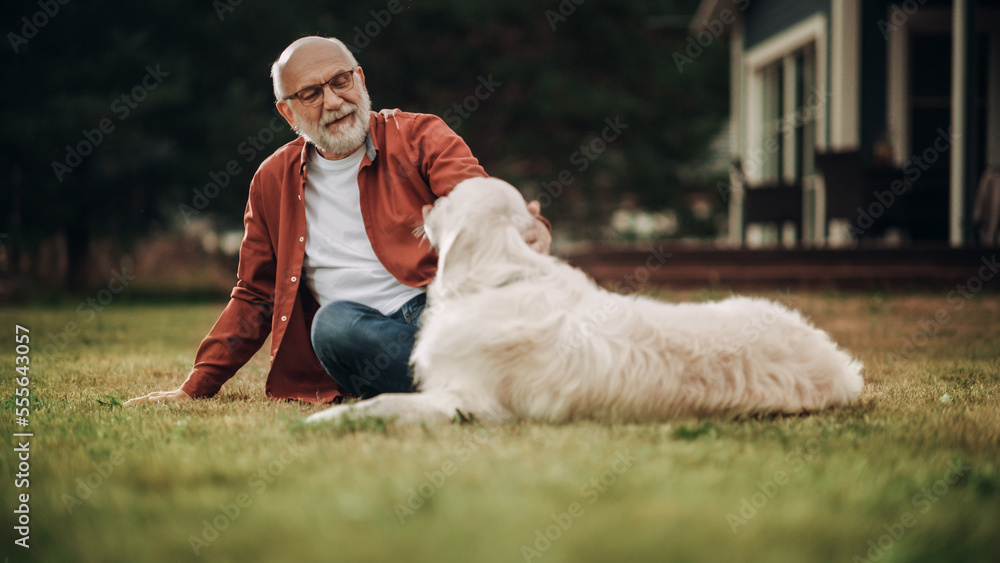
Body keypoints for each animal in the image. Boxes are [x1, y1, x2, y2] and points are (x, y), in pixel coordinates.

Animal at [308, 178, 864, 426]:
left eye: (448, 199)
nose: (428, 200)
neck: (498, 274)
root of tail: (840, 366)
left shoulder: (464, 400)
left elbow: (381, 403)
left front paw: (321, 421)